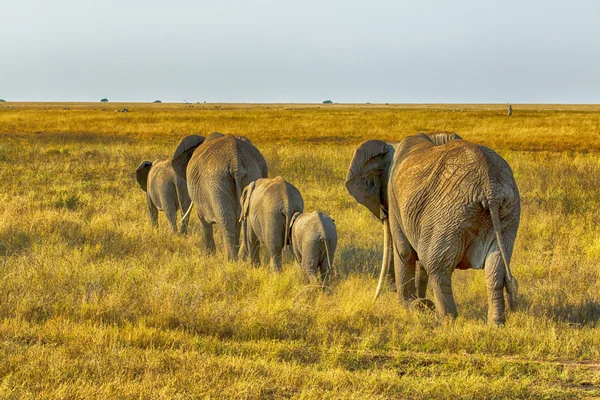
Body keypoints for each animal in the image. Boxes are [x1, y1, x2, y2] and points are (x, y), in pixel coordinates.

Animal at [346, 133, 520, 326]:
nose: (377, 299)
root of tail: (489, 187)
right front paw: (418, 302)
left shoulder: (396, 200)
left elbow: (405, 252)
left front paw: (410, 305)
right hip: (507, 212)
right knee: (495, 268)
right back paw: (496, 324)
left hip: (450, 212)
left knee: (437, 266)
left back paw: (444, 319)